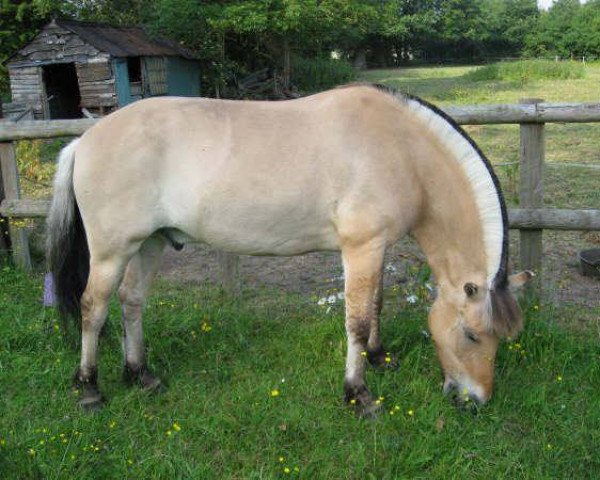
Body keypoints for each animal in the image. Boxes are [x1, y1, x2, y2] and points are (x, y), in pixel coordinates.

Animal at [48, 84, 536, 414]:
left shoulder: (377, 247)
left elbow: (377, 304)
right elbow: (357, 321)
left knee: (131, 302)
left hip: (150, 243)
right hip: (112, 251)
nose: (477, 400)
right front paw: (358, 394)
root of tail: (85, 139)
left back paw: (140, 375)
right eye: (472, 334)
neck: (400, 148)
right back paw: (89, 387)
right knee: (94, 307)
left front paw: (379, 358)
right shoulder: (360, 248)